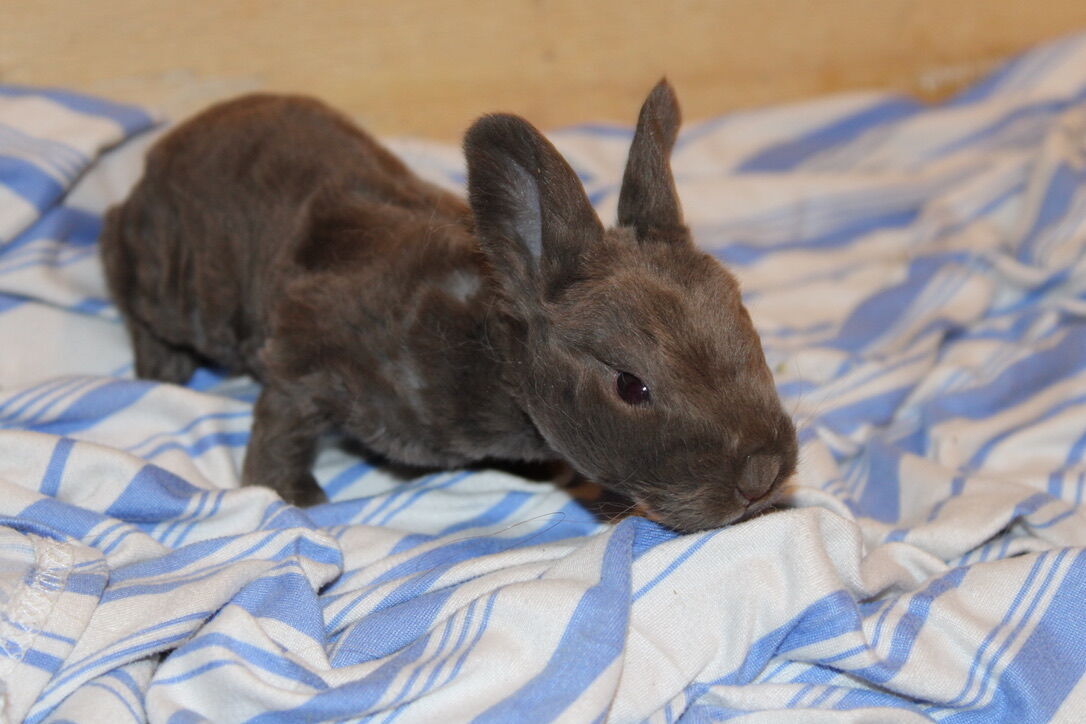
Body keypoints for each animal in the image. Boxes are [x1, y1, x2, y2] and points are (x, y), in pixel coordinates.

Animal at [100, 80, 797, 533]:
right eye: (631, 386)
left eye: (749, 332)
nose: (762, 473)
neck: (490, 347)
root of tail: (166, 148)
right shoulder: (303, 351)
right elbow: (282, 424)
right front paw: (289, 498)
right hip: (178, 281)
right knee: (116, 250)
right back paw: (160, 368)